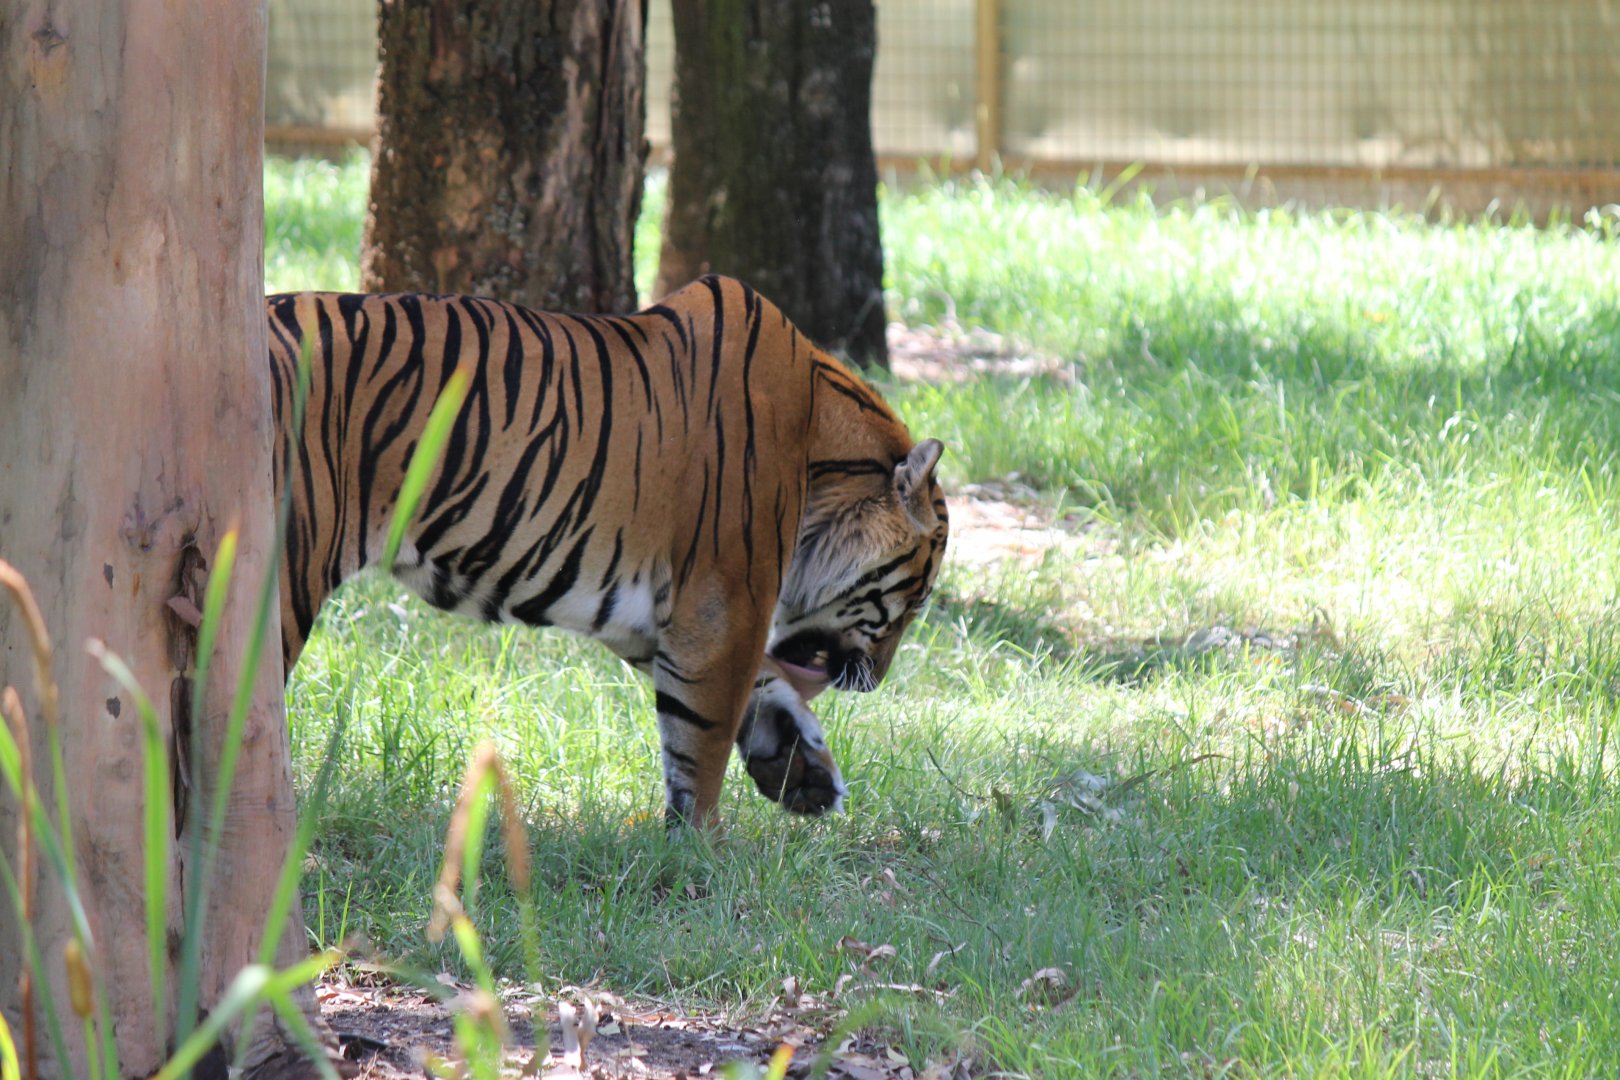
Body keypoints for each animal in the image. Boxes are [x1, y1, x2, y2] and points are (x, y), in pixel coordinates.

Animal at [266, 275, 949, 826]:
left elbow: (758, 688)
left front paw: (799, 770)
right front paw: (702, 848)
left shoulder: (652, 619)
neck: (823, 458)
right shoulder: (724, 605)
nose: (876, 682)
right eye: (914, 602)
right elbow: (704, 738)